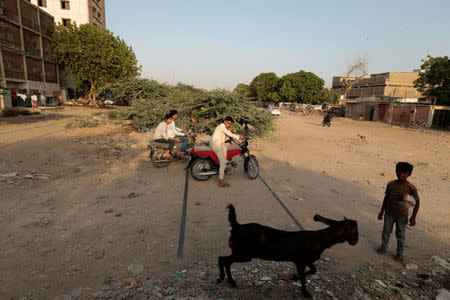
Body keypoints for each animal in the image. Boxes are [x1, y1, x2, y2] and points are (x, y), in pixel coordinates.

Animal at [216, 204, 356, 298]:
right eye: (355, 232)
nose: (356, 241)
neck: (321, 238)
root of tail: (237, 226)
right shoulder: (300, 262)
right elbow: (304, 276)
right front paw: (305, 292)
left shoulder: (305, 261)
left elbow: (312, 270)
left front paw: (294, 277)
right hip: (244, 254)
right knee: (222, 259)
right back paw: (225, 279)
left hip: (240, 254)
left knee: (225, 261)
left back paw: (228, 280)